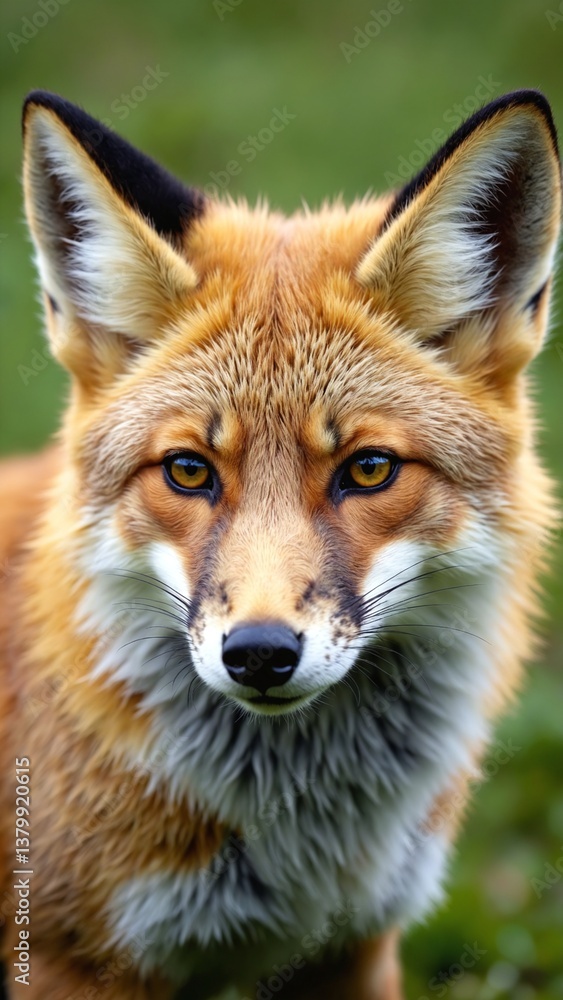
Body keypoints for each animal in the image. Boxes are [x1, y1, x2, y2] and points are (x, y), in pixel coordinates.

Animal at [0, 87, 560, 1000]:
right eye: (188, 471)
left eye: (367, 469)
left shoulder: (352, 947)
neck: (302, 841)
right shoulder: (67, 958)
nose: (259, 653)